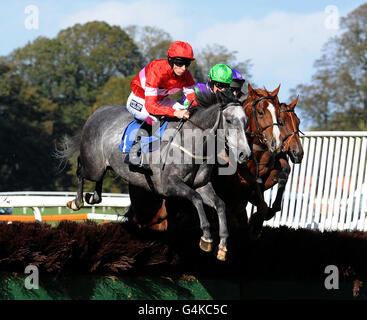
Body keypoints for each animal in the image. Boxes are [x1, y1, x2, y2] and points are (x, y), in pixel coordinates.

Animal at [56, 92, 253, 260]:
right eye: (229, 120)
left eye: (245, 121)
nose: (245, 154)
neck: (192, 144)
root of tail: (97, 111)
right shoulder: (170, 185)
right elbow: (196, 199)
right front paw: (206, 238)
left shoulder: (202, 185)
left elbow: (220, 204)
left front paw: (223, 246)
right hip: (93, 166)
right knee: (80, 169)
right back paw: (76, 201)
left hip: (102, 167)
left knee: (96, 183)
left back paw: (92, 196)